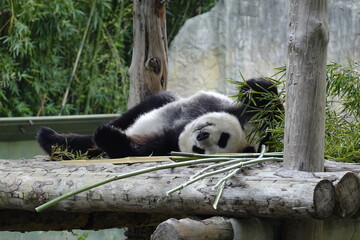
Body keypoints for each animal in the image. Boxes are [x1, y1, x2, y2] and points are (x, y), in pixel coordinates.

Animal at [37, 78, 278, 158]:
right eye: (224, 137)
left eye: (201, 151)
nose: (202, 136)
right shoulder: (217, 105)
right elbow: (265, 108)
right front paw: (256, 86)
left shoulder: (167, 145)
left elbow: (138, 149)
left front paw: (110, 138)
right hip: (161, 101)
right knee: (154, 102)